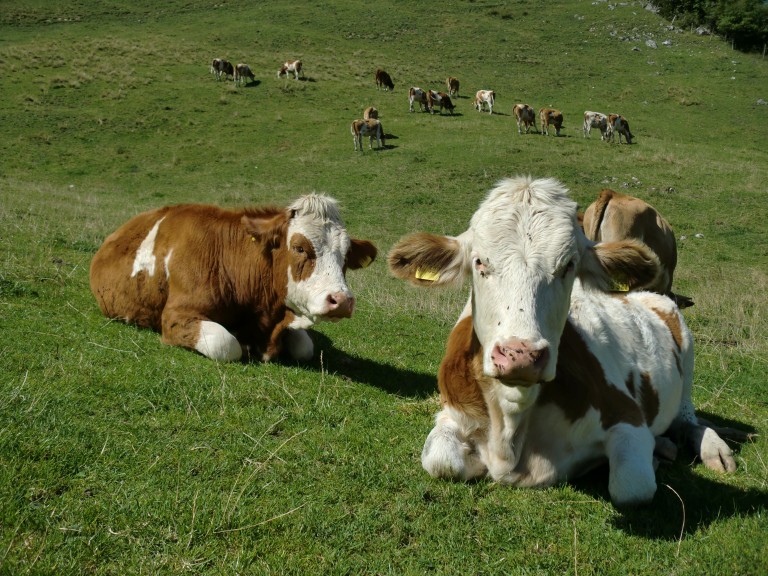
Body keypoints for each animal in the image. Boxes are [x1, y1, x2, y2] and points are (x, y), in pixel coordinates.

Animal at [90, 196, 378, 362]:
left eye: (346, 254)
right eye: (299, 248)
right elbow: (227, 344)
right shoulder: (175, 316)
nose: (341, 301)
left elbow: (304, 347)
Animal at [388, 174, 736, 504]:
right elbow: (440, 461)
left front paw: (650, 460)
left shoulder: (626, 417)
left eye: (568, 265)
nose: (520, 355)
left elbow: (631, 486)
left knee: (688, 419)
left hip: (687, 354)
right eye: (480, 262)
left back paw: (711, 449)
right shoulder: (452, 412)